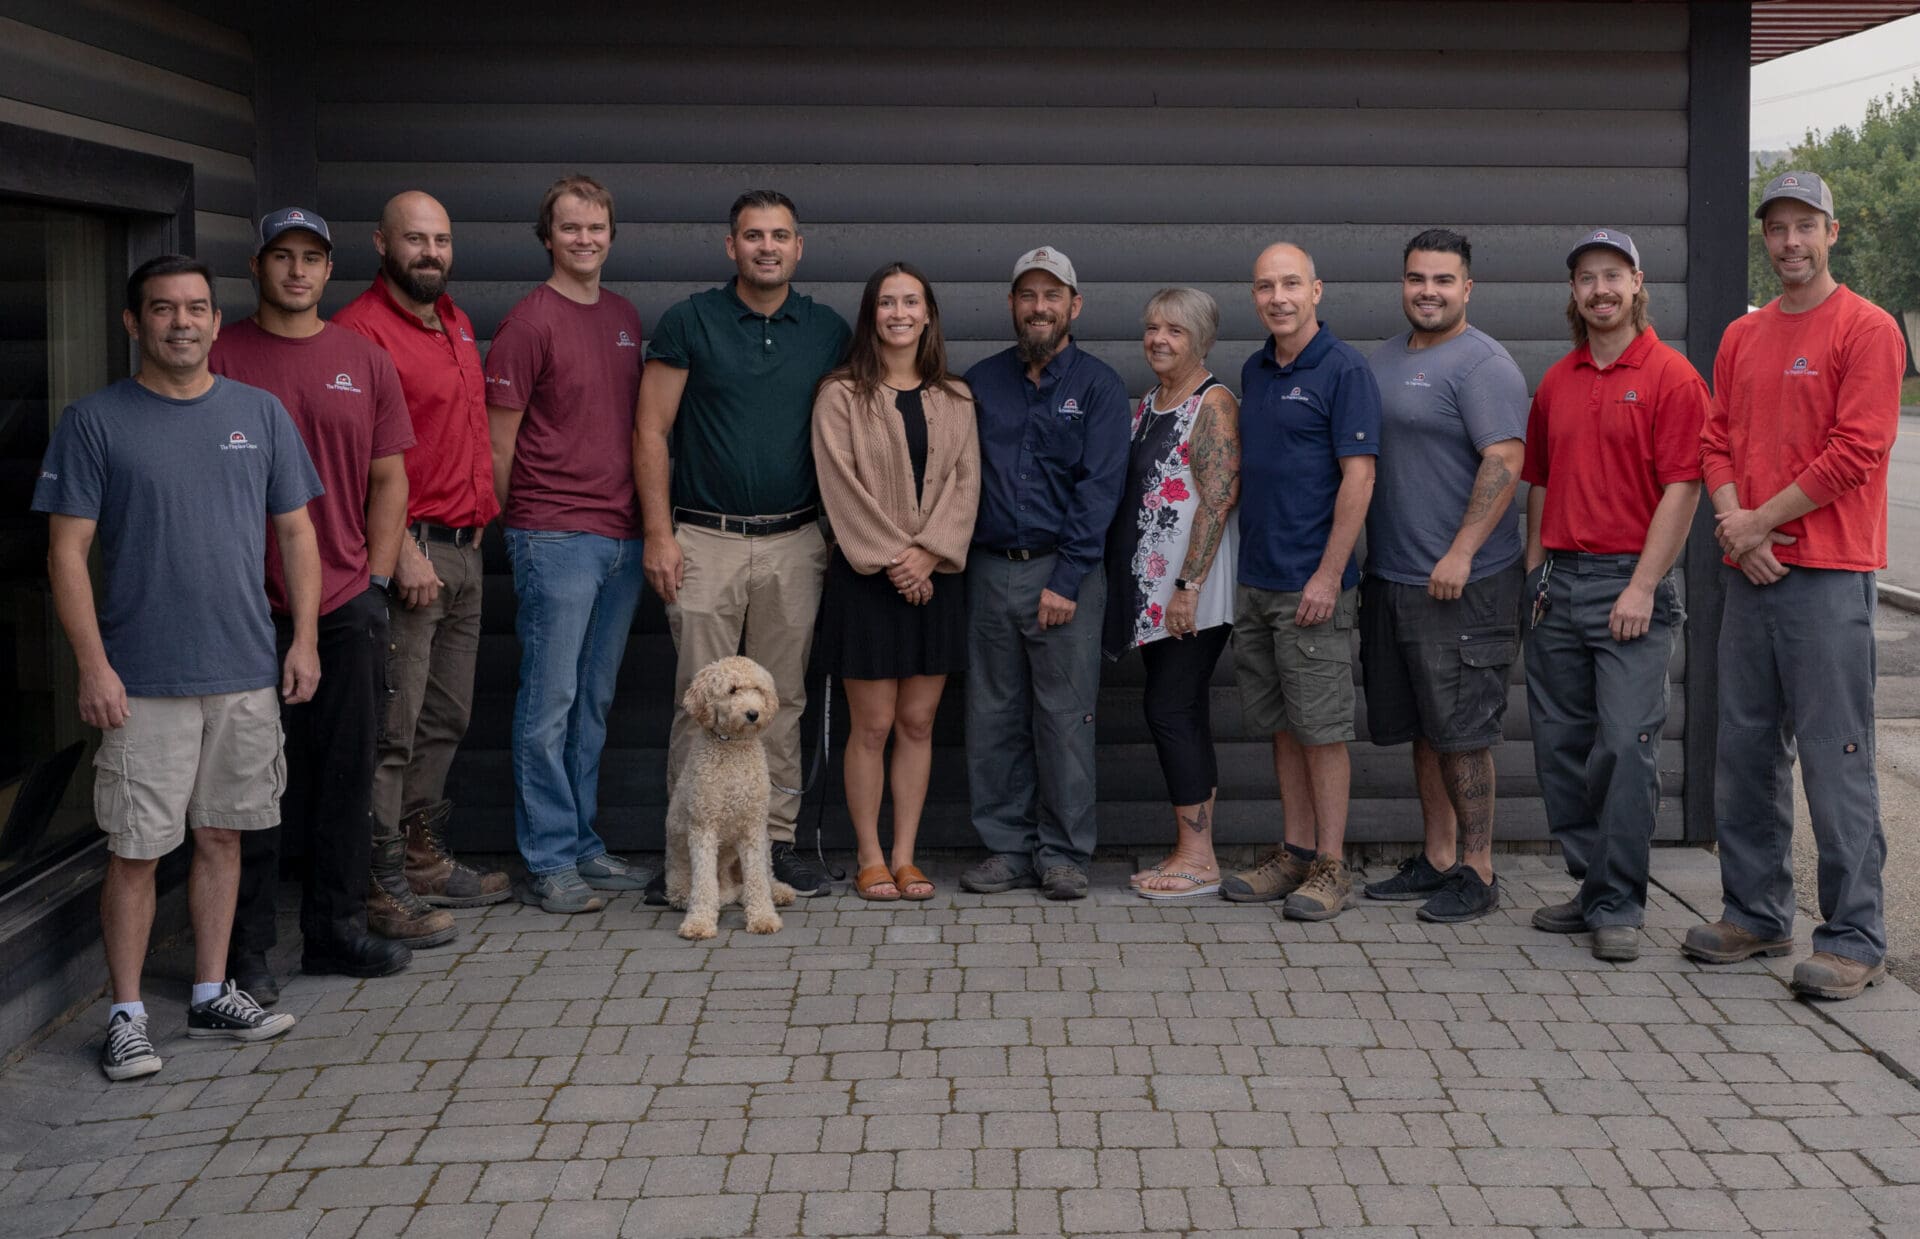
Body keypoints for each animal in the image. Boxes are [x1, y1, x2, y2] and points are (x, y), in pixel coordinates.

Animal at [664, 656, 791, 937]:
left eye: (758, 689)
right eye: (732, 690)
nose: (753, 713)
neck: (733, 749)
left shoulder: (753, 827)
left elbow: (757, 878)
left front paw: (763, 916)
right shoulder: (703, 828)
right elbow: (703, 883)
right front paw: (699, 922)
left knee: (762, 877)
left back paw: (778, 891)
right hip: (678, 871)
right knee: (690, 888)